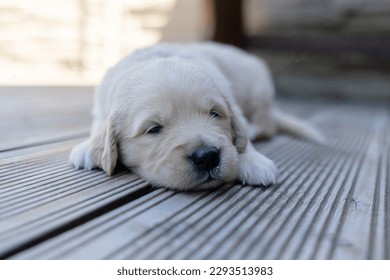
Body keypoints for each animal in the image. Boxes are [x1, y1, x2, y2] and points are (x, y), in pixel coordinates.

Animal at [69, 42, 322, 190]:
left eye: (215, 114)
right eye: (153, 129)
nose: (208, 157)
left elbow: (239, 133)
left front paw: (254, 161)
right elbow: (97, 127)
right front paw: (87, 147)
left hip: (258, 89)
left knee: (265, 123)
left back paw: (253, 128)